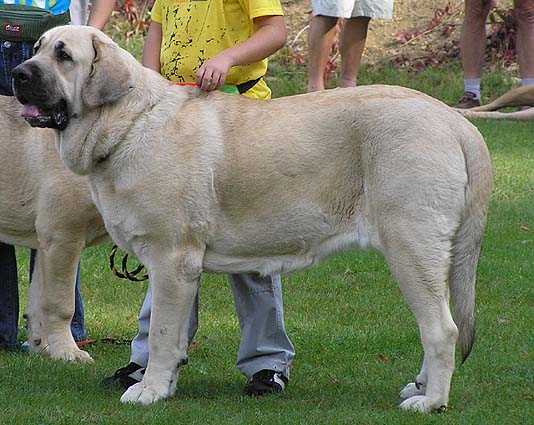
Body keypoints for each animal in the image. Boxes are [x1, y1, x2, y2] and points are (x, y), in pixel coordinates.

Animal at [0, 95, 108, 358]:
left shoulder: (46, 245)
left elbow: (38, 304)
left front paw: (44, 349)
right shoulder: (63, 238)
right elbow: (60, 305)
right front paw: (68, 352)